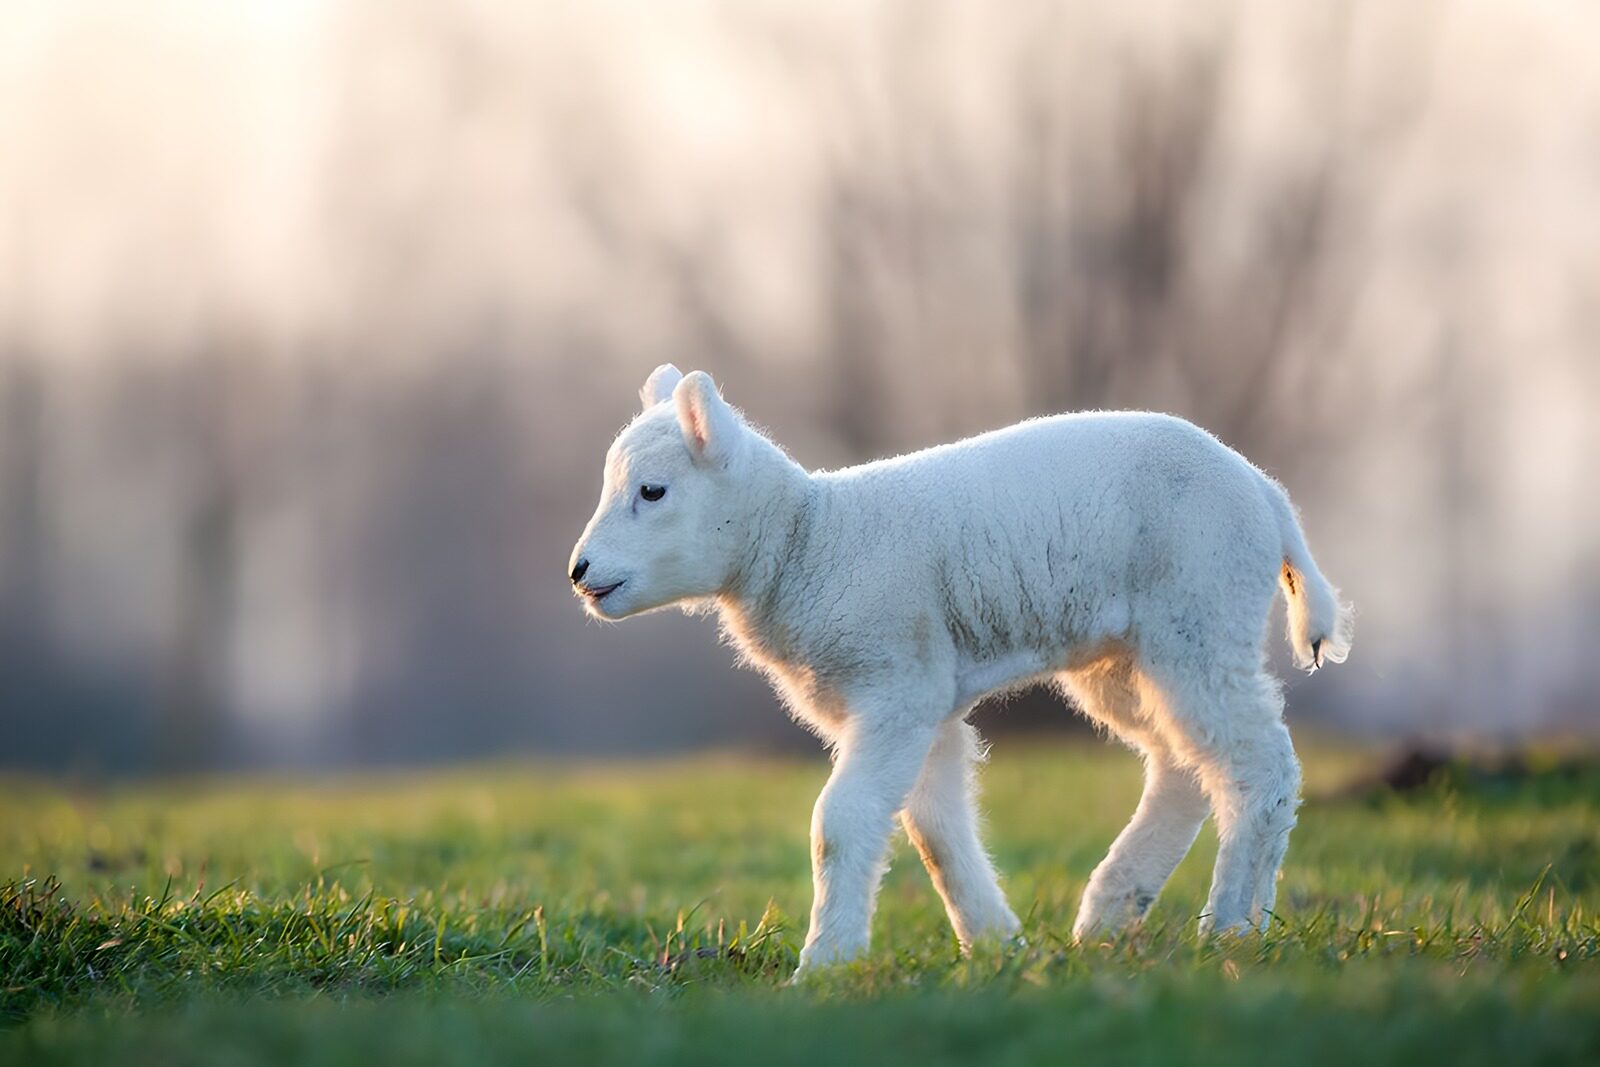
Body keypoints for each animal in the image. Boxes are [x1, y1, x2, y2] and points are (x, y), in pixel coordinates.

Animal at [569, 364, 1352, 978]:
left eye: (652, 491)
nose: (579, 573)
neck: (807, 540)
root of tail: (1263, 488)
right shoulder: (924, 697)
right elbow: (936, 831)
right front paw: (997, 943)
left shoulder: (895, 685)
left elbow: (840, 821)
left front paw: (825, 962)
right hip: (1127, 653)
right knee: (1184, 762)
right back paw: (1110, 910)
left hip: (1199, 614)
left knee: (1258, 765)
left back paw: (1231, 927)